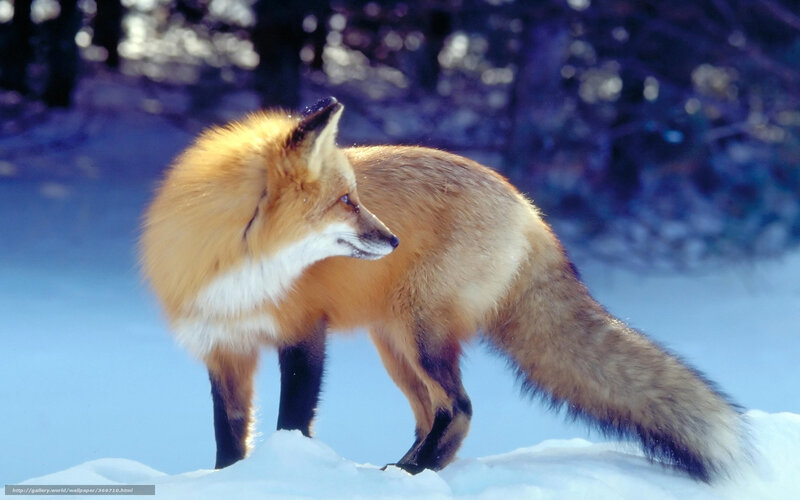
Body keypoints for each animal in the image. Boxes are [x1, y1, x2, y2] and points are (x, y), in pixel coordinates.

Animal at [140, 96, 746, 481]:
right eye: (346, 202)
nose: (392, 238)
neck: (239, 268)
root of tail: (528, 207)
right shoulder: (223, 347)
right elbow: (228, 436)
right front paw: (227, 480)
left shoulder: (304, 334)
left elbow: (293, 422)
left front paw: (287, 473)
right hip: (395, 345)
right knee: (430, 412)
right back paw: (406, 469)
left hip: (420, 334)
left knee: (460, 408)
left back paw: (414, 472)